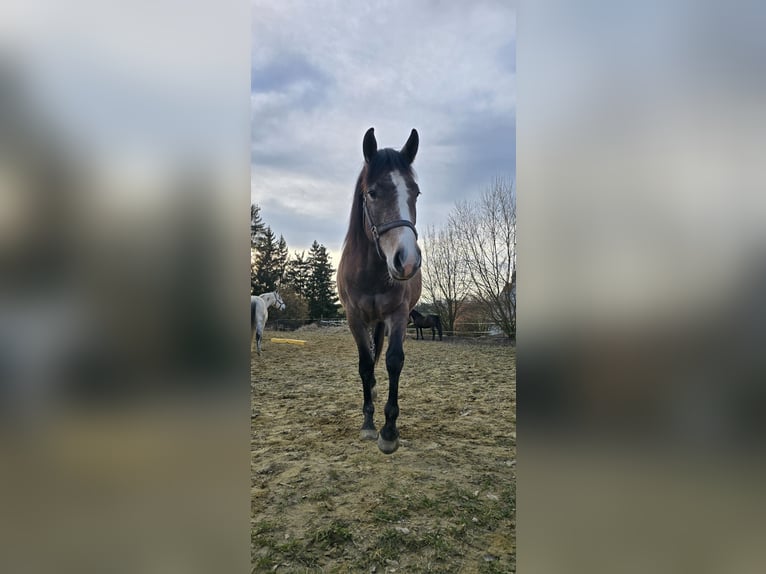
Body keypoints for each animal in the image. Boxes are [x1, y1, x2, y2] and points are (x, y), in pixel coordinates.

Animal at [337, 127, 422, 454]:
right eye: (372, 192)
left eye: (415, 192)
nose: (407, 260)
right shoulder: (354, 318)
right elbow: (364, 364)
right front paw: (368, 423)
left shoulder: (397, 316)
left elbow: (393, 361)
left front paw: (388, 431)